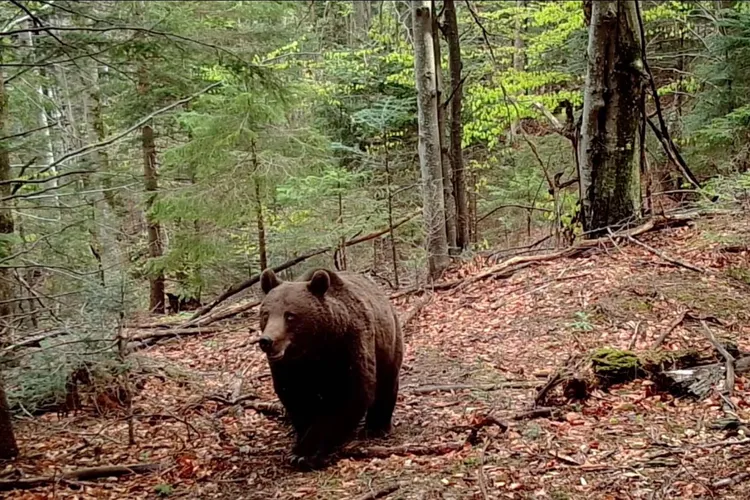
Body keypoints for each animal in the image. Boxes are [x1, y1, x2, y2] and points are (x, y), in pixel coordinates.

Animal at [258, 268, 406, 466]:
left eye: (290, 315)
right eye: (265, 314)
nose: (267, 341)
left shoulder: (349, 345)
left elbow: (352, 394)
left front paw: (306, 452)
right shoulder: (288, 367)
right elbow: (295, 397)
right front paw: (302, 440)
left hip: (388, 341)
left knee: (386, 382)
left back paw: (377, 427)